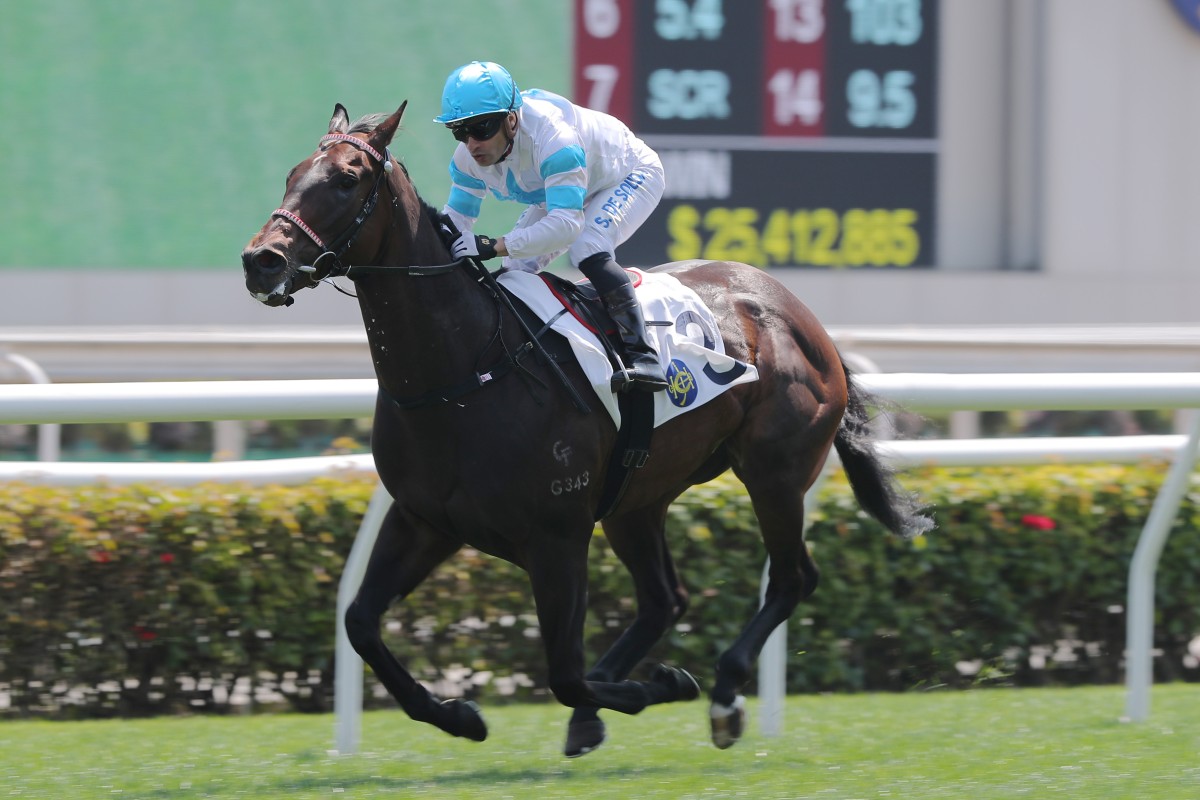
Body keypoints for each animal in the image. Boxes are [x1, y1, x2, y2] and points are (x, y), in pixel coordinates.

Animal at [243, 101, 931, 758]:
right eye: (292, 174)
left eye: (346, 179)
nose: (261, 261)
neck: (463, 372)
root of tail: (799, 313)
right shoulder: (424, 519)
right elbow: (360, 622)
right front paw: (459, 715)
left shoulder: (557, 537)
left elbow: (564, 673)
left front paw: (663, 685)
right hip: (637, 497)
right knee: (664, 599)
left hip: (774, 473)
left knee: (790, 578)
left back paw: (723, 692)